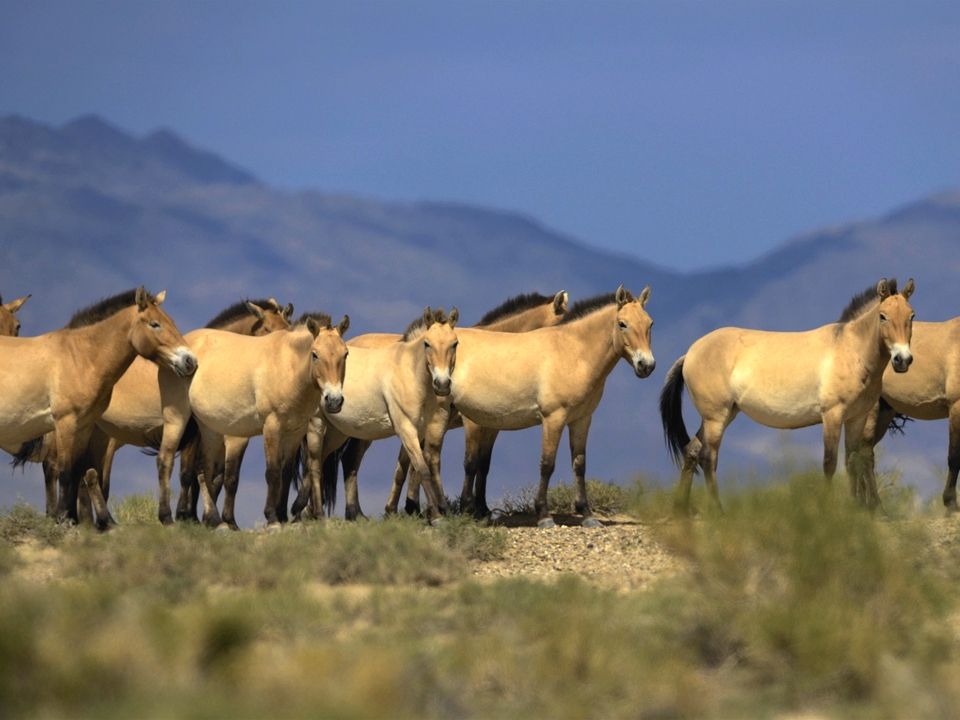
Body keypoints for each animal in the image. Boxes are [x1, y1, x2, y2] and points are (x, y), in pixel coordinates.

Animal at [0, 288, 197, 528]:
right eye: (154, 324)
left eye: (172, 322)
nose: (190, 361)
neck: (81, 358)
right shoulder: (65, 422)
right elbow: (65, 470)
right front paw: (63, 519)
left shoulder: (84, 425)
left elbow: (78, 470)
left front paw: (72, 518)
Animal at [159, 316, 350, 528]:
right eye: (315, 355)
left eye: (345, 354)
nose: (334, 400)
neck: (288, 367)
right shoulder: (272, 426)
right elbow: (273, 471)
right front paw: (272, 518)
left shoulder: (296, 431)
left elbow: (285, 472)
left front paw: (283, 516)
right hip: (177, 417)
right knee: (166, 460)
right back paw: (167, 517)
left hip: (209, 427)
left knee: (203, 467)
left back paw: (215, 520)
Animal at [288, 306, 462, 524]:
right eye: (427, 344)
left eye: (454, 344)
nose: (442, 384)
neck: (408, 373)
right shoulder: (405, 428)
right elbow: (422, 468)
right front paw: (437, 516)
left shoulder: (419, 429)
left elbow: (406, 468)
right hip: (317, 424)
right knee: (314, 464)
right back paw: (317, 513)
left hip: (338, 432)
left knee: (321, 459)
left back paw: (300, 510)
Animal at [332, 290, 568, 520]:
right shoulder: (472, 423)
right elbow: (470, 462)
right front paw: (468, 507)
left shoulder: (491, 426)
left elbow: (483, 464)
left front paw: (481, 508)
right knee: (352, 459)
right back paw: (356, 513)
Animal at [660, 278, 916, 516]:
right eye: (883, 316)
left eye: (911, 316)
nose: (903, 360)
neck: (851, 351)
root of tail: (690, 353)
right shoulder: (832, 416)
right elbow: (830, 462)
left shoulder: (857, 418)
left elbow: (852, 461)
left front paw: (854, 509)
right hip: (716, 417)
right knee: (708, 457)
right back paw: (718, 511)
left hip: (723, 415)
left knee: (692, 451)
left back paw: (680, 509)